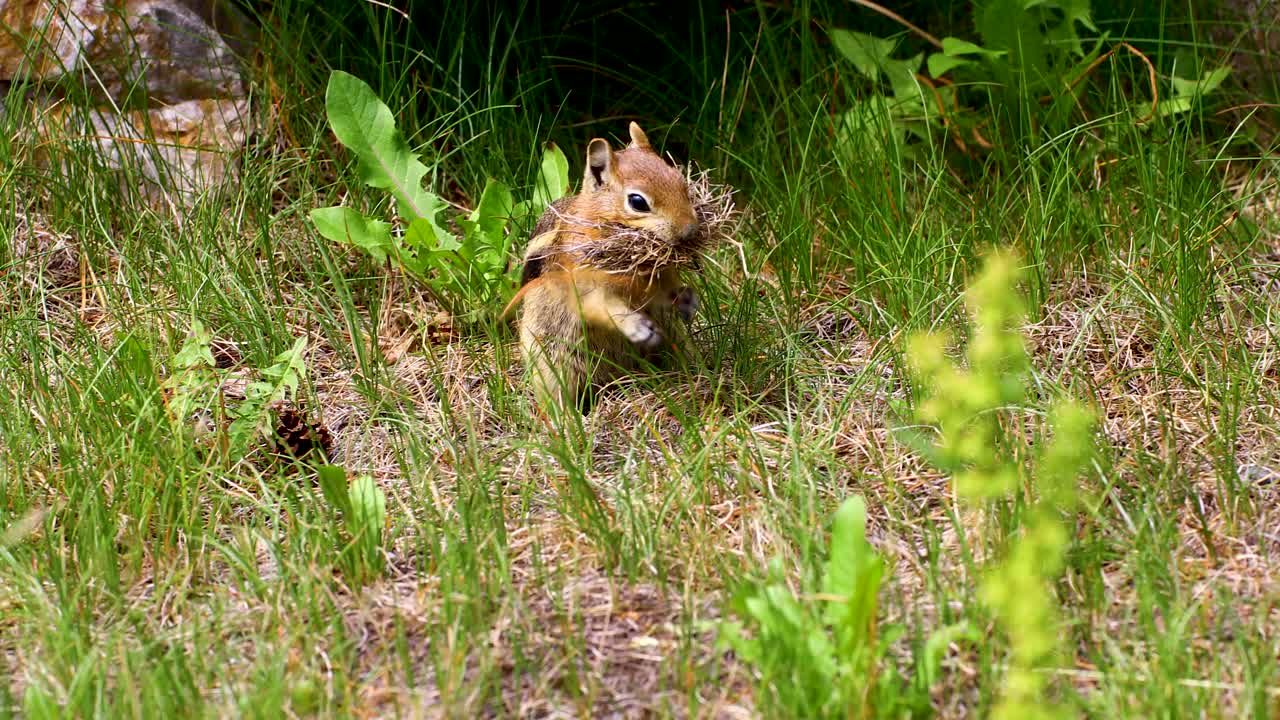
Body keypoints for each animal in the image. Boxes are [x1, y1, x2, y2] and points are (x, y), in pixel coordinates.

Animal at [506, 122, 702, 412]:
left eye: (681, 183)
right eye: (638, 202)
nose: (690, 231)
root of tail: (614, 376)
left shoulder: (660, 277)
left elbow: (667, 291)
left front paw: (687, 299)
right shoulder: (582, 283)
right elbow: (598, 306)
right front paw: (635, 325)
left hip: (674, 338)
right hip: (552, 360)